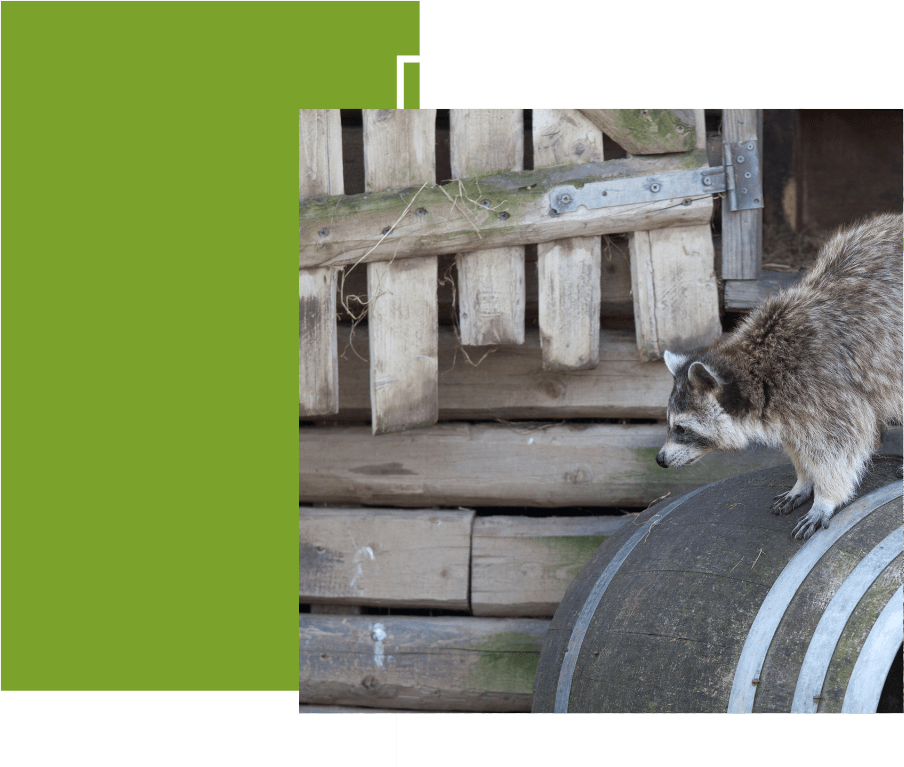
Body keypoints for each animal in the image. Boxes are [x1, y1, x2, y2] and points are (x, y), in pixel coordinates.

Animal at [656, 211, 903, 540]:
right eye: (670, 424)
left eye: (681, 428)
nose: (659, 459)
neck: (756, 369)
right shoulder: (791, 409)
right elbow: (800, 445)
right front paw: (804, 479)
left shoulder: (826, 388)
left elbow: (842, 446)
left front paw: (826, 497)